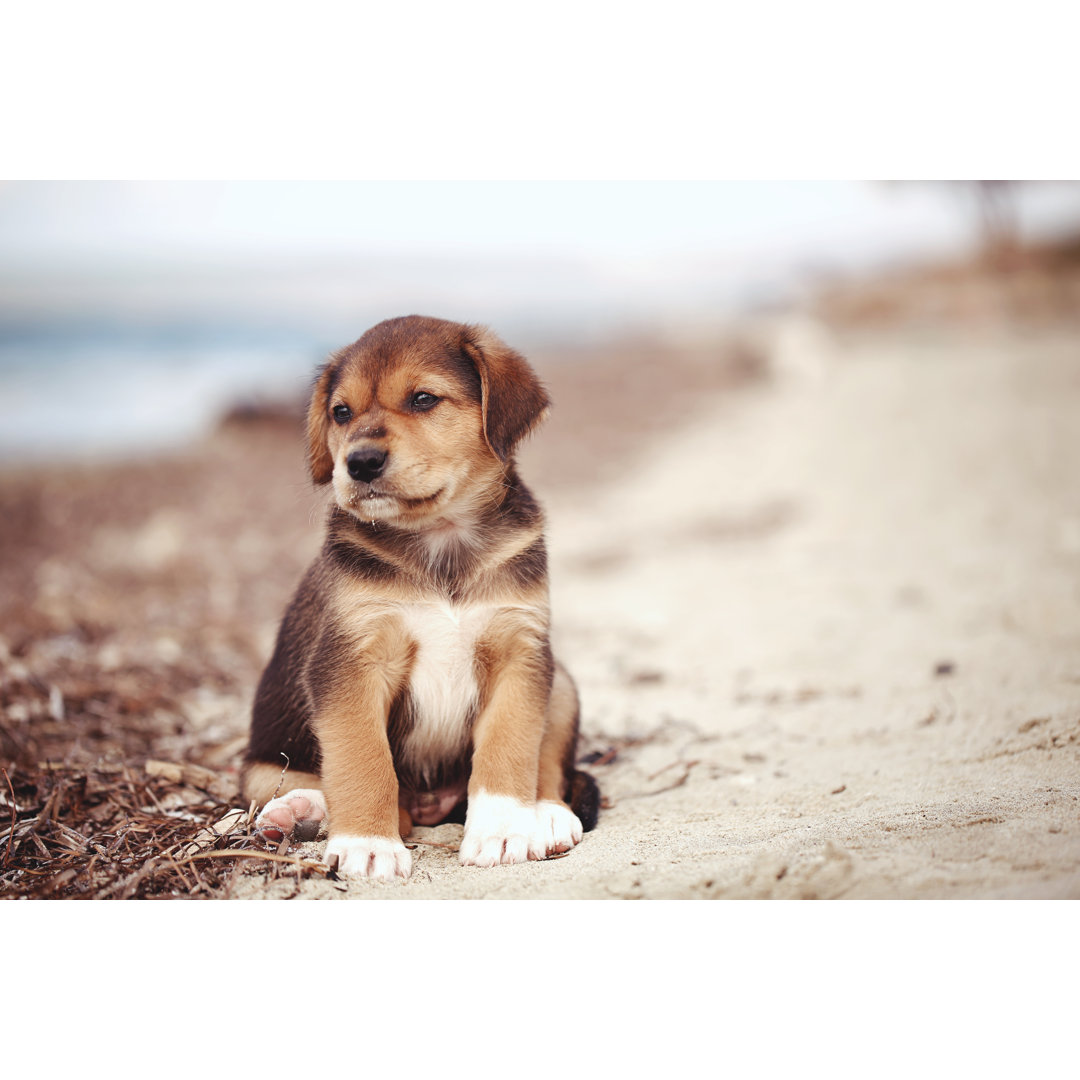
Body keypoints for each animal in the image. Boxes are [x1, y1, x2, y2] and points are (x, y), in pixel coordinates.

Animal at [241, 313, 600, 876]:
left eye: (424, 399)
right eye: (341, 412)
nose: (359, 462)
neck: (441, 539)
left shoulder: (519, 652)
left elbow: (510, 748)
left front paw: (502, 829)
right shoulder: (350, 662)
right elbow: (363, 759)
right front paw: (368, 842)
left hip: (558, 677)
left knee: (548, 765)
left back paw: (545, 814)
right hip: (263, 759)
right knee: (300, 783)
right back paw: (300, 811)